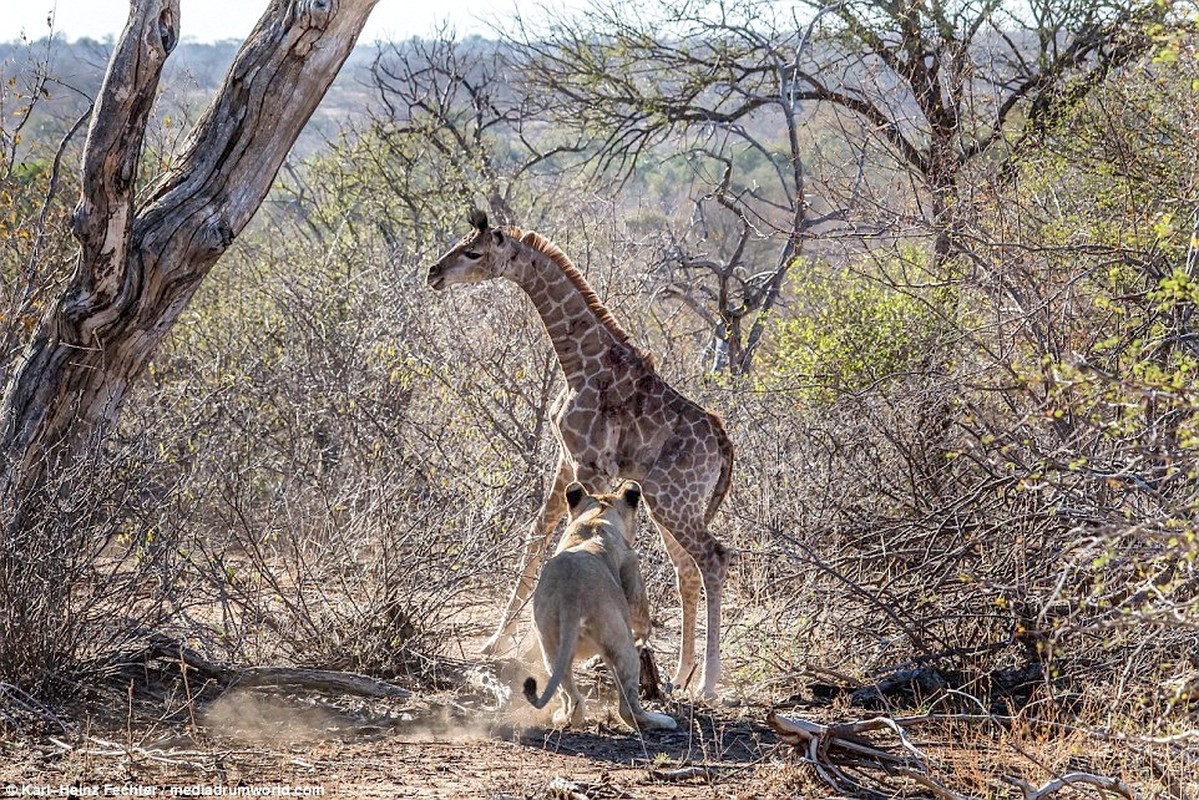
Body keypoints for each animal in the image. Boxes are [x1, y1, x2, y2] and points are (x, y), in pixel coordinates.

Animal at [426, 209, 733, 695]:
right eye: (458, 243)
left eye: (472, 252)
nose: (433, 272)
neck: (579, 363)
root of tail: (723, 441)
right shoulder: (565, 459)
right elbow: (536, 537)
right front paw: (496, 642)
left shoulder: (592, 465)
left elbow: (572, 537)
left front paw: (539, 648)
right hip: (672, 504)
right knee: (687, 568)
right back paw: (681, 675)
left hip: (672, 499)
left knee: (715, 559)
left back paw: (707, 682)